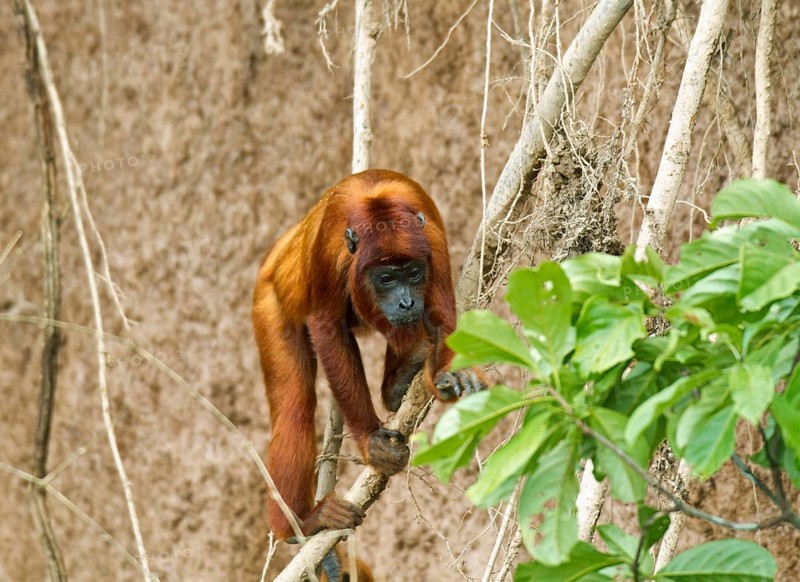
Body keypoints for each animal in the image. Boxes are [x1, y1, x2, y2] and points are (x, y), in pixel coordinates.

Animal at [252, 169, 486, 540]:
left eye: (414, 273)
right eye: (386, 278)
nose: (406, 301)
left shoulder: (431, 241)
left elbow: (441, 317)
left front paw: (452, 371)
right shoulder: (329, 248)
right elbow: (327, 326)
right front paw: (370, 442)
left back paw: (400, 381)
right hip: (268, 300)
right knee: (295, 407)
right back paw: (301, 523)